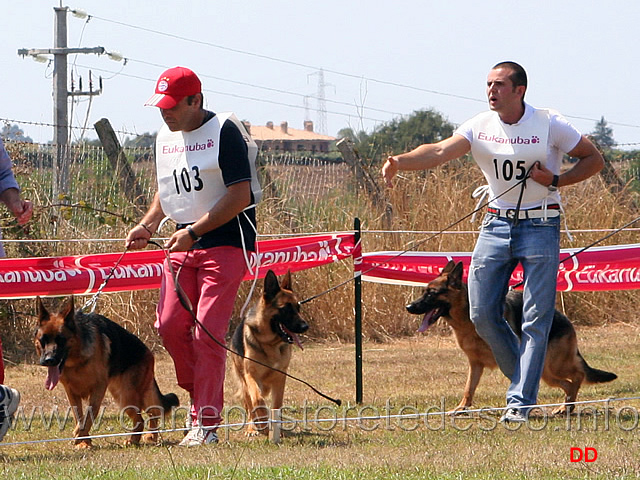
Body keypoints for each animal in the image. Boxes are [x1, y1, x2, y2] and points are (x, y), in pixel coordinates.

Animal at [35, 294, 180, 448]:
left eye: (61, 340)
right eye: (43, 340)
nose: (48, 360)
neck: (76, 360)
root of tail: (148, 352)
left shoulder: (98, 388)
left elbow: (90, 414)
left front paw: (80, 436)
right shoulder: (71, 392)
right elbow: (78, 416)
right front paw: (84, 441)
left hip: (127, 396)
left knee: (145, 417)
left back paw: (136, 439)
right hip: (123, 394)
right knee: (153, 412)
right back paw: (149, 437)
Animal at [231, 270, 308, 436]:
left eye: (298, 308)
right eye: (285, 309)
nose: (306, 326)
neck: (270, 344)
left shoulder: (280, 377)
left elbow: (277, 405)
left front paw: (276, 429)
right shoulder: (251, 376)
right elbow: (257, 401)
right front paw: (262, 422)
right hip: (244, 382)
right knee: (250, 405)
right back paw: (252, 427)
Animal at [408, 260, 616, 414]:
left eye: (431, 294)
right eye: (424, 292)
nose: (408, 307)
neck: (467, 316)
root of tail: (563, 319)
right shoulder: (475, 364)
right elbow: (469, 388)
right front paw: (462, 408)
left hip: (551, 366)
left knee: (577, 376)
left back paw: (567, 405)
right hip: (548, 370)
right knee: (568, 382)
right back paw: (566, 406)